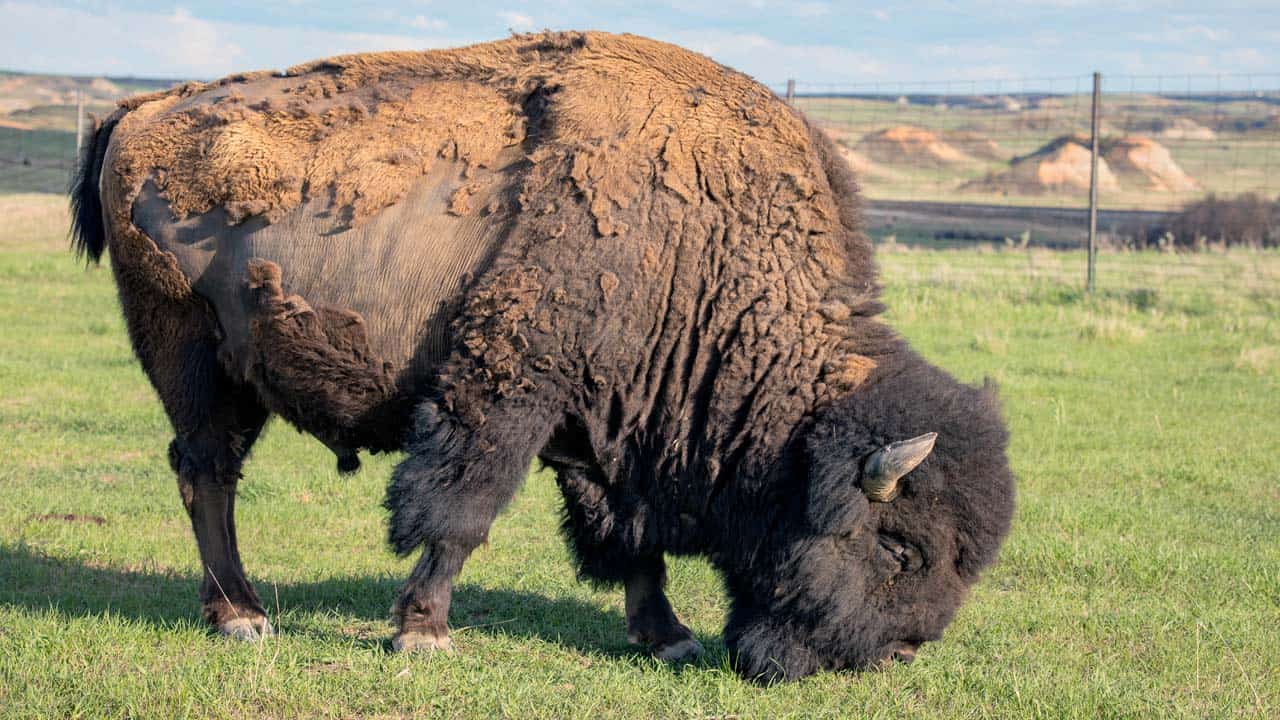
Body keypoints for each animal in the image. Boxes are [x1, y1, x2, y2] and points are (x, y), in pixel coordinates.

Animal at [70, 32, 1013, 676]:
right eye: (901, 549)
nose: (900, 652)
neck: (700, 249)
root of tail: (140, 111)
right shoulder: (505, 394)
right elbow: (461, 513)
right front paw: (423, 633)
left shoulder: (606, 427)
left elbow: (628, 536)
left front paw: (667, 636)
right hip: (190, 359)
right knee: (207, 474)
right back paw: (240, 614)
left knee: (208, 472)